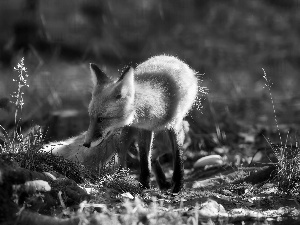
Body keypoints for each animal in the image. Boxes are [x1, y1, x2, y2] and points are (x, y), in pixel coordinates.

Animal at [82, 55, 199, 192]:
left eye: (101, 119)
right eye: (91, 118)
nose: (86, 144)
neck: (161, 102)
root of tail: (168, 56)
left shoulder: (174, 126)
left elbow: (178, 156)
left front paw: (178, 187)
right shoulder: (143, 129)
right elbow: (144, 160)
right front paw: (144, 186)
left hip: (175, 132)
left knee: (156, 154)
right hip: (128, 133)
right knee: (124, 154)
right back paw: (124, 178)